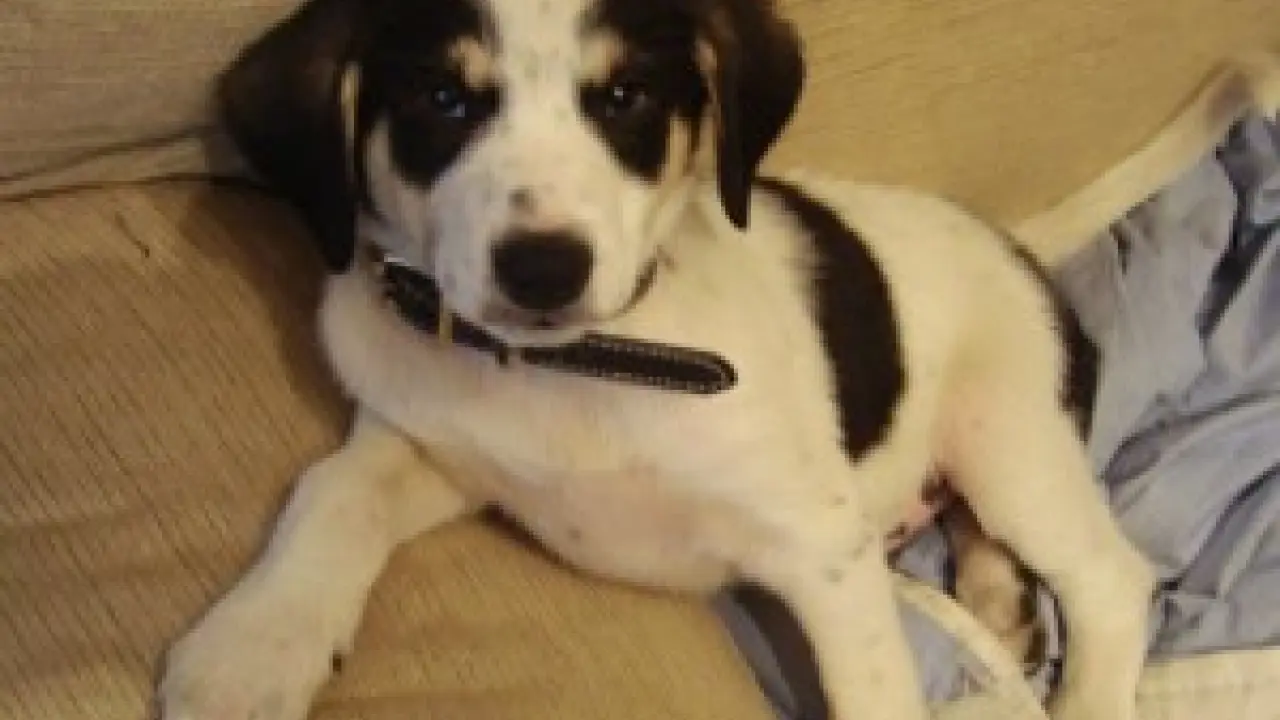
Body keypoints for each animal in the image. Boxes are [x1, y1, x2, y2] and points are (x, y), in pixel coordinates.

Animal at [157, 1, 1155, 718]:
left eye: (625, 97)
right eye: (442, 100)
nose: (544, 267)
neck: (574, 369)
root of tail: (1020, 251)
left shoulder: (820, 549)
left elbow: (871, 692)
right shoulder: (416, 444)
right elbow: (331, 491)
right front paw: (251, 651)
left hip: (1007, 437)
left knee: (1112, 579)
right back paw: (998, 603)